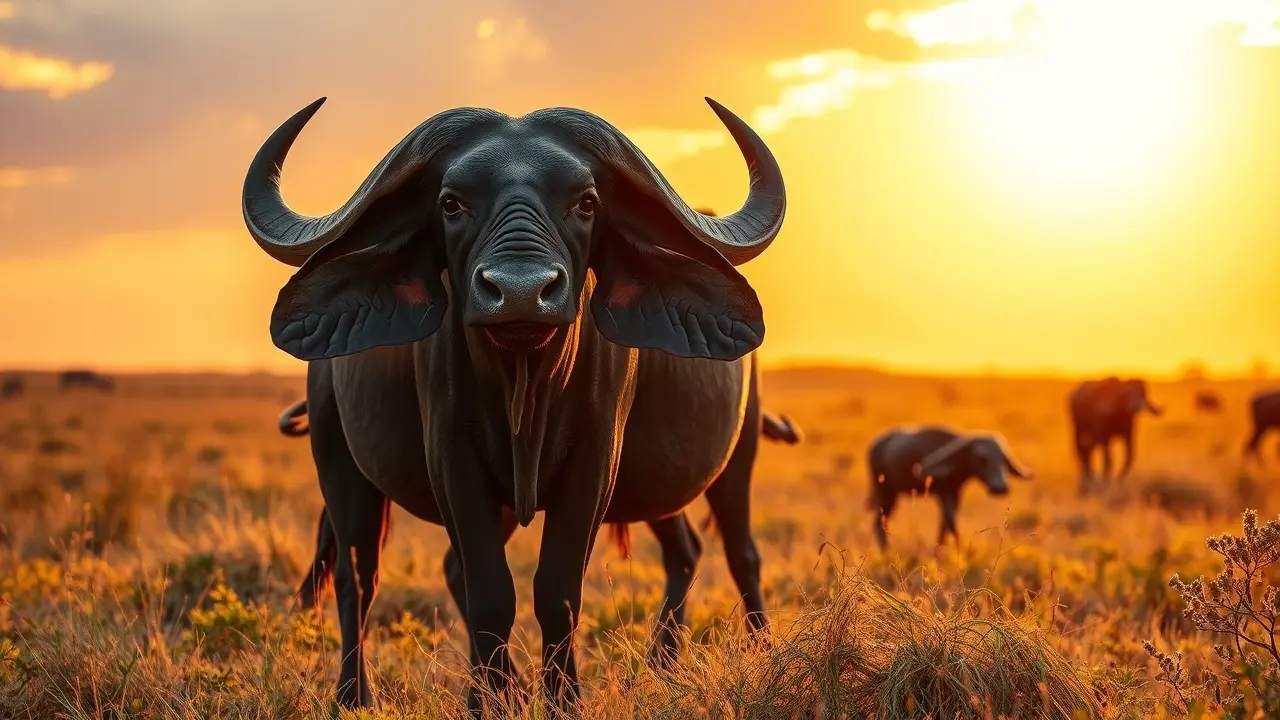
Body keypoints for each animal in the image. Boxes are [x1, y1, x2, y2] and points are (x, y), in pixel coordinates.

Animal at [242, 97, 786, 711]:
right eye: (451, 203)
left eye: (586, 202)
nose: (521, 291)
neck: (525, 382)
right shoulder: (453, 460)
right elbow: (489, 593)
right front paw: (486, 702)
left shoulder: (596, 462)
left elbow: (558, 592)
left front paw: (561, 702)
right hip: (339, 460)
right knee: (360, 574)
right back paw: (358, 697)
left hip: (736, 456)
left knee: (733, 552)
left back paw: (726, 656)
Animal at [867, 426, 1033, 549]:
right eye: (982, 458)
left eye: (1002, 459)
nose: (1000, 487)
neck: (956, 463)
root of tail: (875, 446)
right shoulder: (944, 493)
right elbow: (951, 523)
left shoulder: (955, 494)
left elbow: (945, 524)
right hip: (886, 493)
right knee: (878, 523)